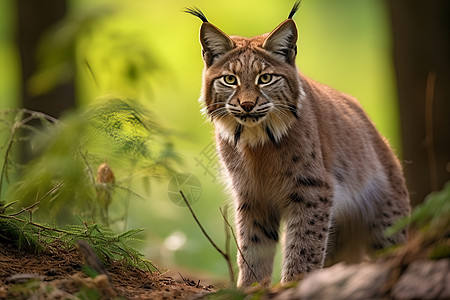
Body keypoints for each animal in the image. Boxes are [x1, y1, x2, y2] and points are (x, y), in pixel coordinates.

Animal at [185, 1, 410, 286]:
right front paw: (250, 288)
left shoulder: (312, 190)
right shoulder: (251, 195)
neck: (256, 142)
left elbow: (304, 246)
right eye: (230, 80)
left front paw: (294, 284)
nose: (247, 105)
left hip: (386, 222)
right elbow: (252, 249)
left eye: (265, 79)